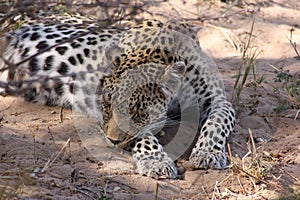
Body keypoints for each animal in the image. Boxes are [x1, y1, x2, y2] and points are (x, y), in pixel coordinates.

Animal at [0, 11, 236, 179]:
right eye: (107, 103)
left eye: (138, 111)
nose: (111, 140)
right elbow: (143, 135)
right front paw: (157, 161)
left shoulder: (216, 99)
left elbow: (219, 120)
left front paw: (208, 153)